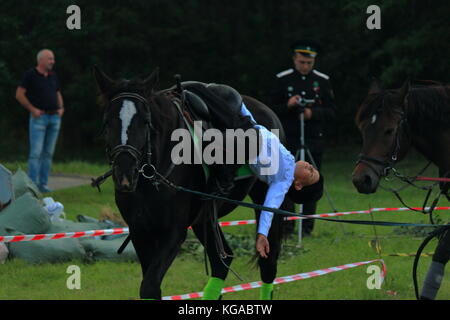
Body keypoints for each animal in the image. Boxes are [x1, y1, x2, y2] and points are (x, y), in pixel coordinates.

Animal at [92, 67, 300, 300]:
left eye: (145, 121)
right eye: (107, 122)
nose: (125, 174)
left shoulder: (173, 233)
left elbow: (150, 286)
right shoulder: (139, 231)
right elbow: (150, 286)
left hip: (264, 200)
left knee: (268, 263)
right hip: (205, 218)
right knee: (221, 262)